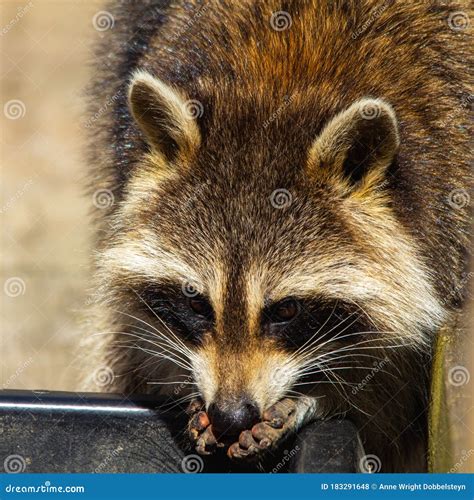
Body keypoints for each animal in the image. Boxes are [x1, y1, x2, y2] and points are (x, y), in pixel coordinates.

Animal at [83, 0, 472, 472]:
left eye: (285, 310)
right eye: (195, 302)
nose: (230, 414)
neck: (276, 91)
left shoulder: (449, 215)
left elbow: (393, 395)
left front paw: (321, 398)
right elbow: (138, 334)